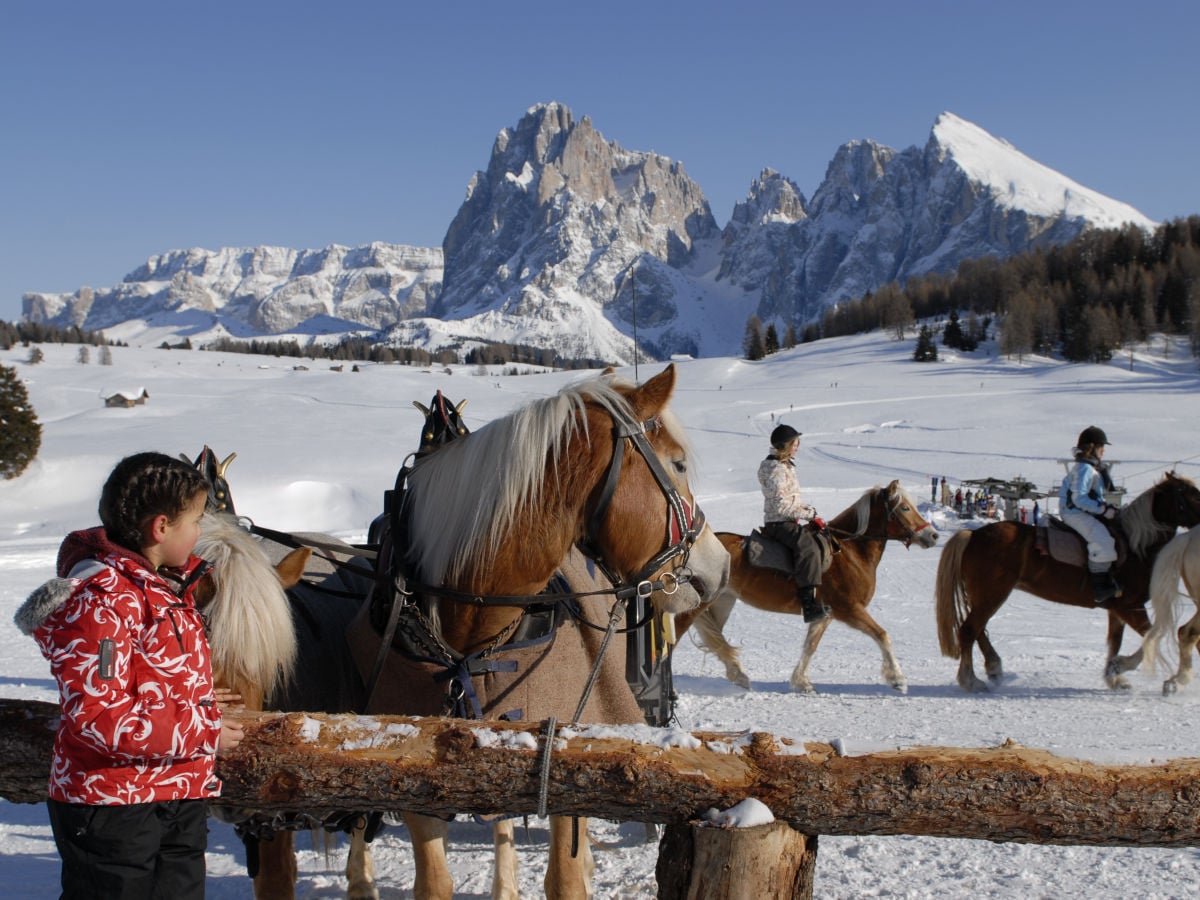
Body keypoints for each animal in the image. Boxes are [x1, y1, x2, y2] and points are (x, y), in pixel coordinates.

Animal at [196, 367, 729, 900]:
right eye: (679, 464)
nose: (719, 565)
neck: (476, 636)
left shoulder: (571, 764)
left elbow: (564, 877)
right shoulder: (421, 774)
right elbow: (434, 880)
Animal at [676, 482, 936, 696]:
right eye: (905, 508)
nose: (933, 535)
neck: (849, 551)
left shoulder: (825, 614)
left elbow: (810, 646)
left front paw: (801, 682)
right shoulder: (850, 609)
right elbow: (882, 635)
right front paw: (898, 679)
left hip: (722, 602)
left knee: (714, 638)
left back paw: (738, 675)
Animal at [936, 468, 1200, 696]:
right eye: (1190, 494)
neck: (1136, 546)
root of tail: (973, 535)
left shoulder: (1117, 610)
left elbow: (1115, 643)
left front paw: (1114, 677)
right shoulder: (1130, 607)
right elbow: (1153, 635)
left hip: (986, 596)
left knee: (978, 629)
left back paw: (994, 668)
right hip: (992, 594)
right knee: (969, 630)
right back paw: (971, 680)